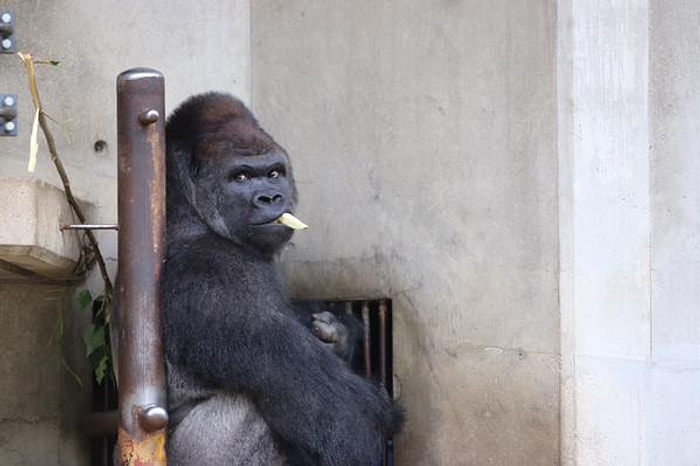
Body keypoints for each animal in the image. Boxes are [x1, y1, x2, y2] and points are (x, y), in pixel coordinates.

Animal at [162, 92, 402, 466]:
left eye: (274, 173)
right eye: (241, 177)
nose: (271, 197)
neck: (190, 211)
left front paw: (340, 334)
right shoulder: (218, 279)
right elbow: (345, 421)